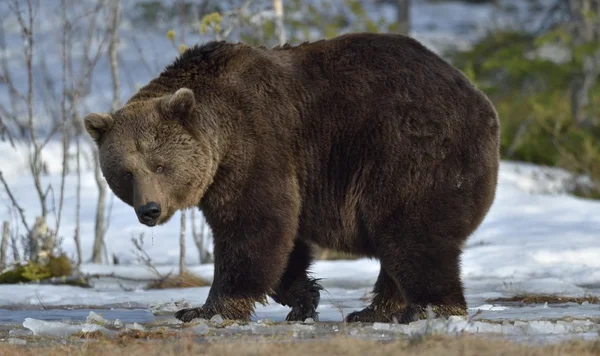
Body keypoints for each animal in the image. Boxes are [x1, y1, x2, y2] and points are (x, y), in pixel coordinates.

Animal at [83, 32, 496, 324]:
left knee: (411, 232)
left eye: (160, 165)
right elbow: (284, 240)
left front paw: (205, 309)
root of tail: (480, 98)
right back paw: (373, 311)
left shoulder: (257, 144)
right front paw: (303, 298)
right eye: (125, 172)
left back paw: (429, 309)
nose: (149, 209)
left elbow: (254, 226)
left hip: (409, 151)